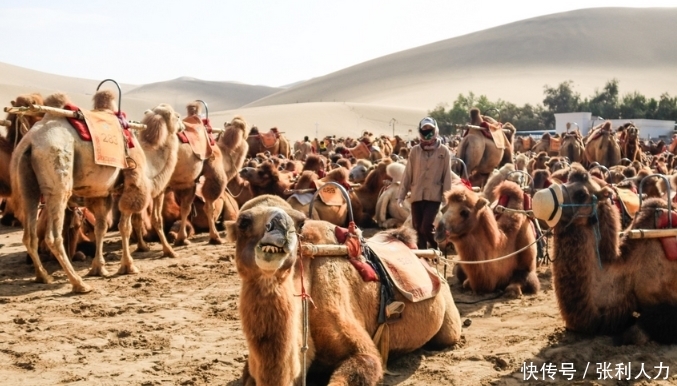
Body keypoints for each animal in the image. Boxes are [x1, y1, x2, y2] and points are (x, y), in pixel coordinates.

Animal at [11, 92, 180, 292]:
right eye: (177, 116)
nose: (183, 126)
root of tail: (30, 141)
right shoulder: (132, 186)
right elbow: (125, 227)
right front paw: (128, 266)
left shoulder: (101, 193)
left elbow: (101, 228)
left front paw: (98, 269)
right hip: (57, 179)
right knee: (53, 236)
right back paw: (78, 283)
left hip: (27, 184)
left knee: (29, 235)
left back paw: (43, 276)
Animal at [224, 196, 462, 386]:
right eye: (244, 222)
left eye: (300, 223)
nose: (281, 224)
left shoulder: (358, 344)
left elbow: (366, 360)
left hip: (447, 316)